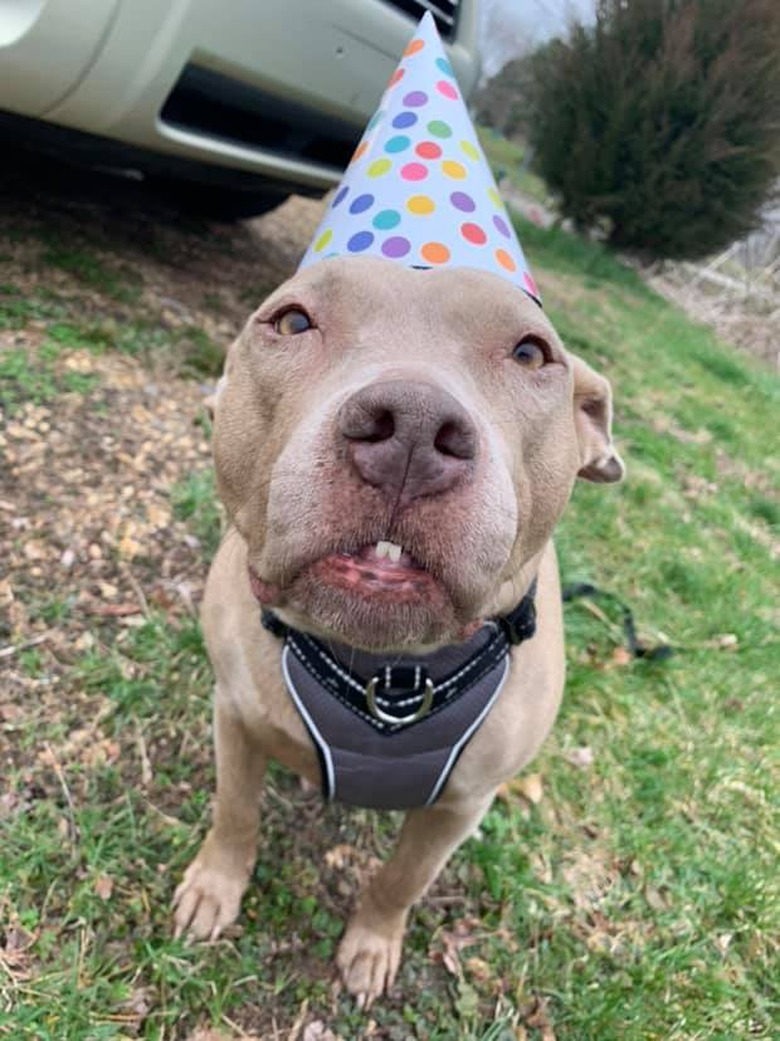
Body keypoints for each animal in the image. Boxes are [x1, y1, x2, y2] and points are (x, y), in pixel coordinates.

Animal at [173, 256, 624, 1003]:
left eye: (531, 354)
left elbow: (402, 878)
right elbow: (236, 812)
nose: (413, 425)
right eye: (291, 321)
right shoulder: (233, 716)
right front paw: (215, 888)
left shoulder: (460, 804)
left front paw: (371, 943)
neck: (386, 669)